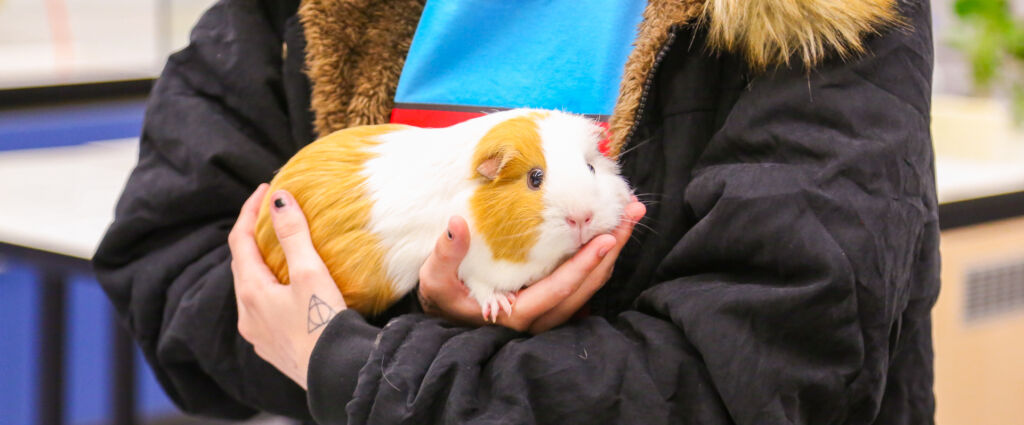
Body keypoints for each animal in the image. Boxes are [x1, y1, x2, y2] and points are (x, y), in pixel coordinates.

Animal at [255, 109, 632, 321]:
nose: (582, 218)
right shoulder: (474, 265)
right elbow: (481, 284)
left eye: (590, 167)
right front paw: (500, 307)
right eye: (535, 178)